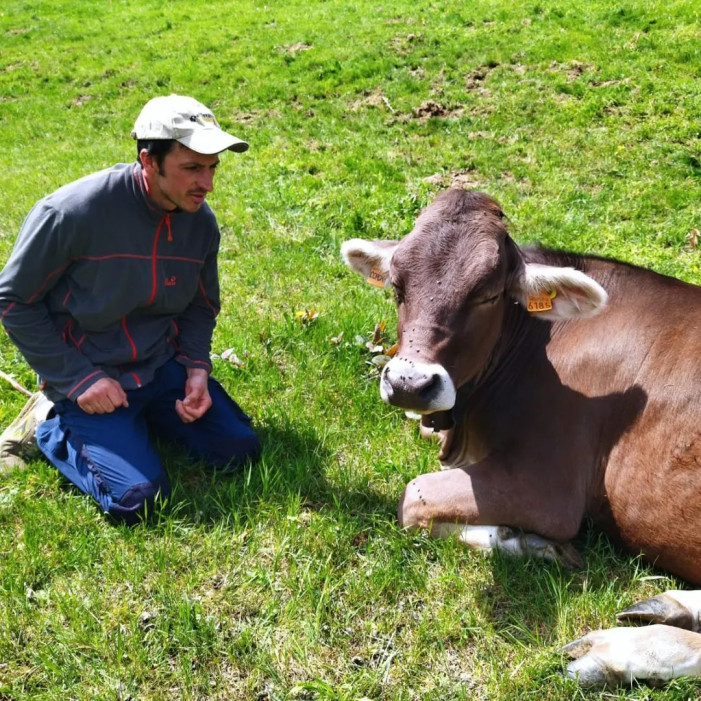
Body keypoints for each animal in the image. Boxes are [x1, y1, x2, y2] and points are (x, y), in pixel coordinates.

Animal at [342, 189, 700, 688]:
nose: (410, 383)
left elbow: (411, 498)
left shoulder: (547, 489)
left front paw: (524, 540)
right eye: (396, 287)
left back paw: (618, 651)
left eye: (489, 295)